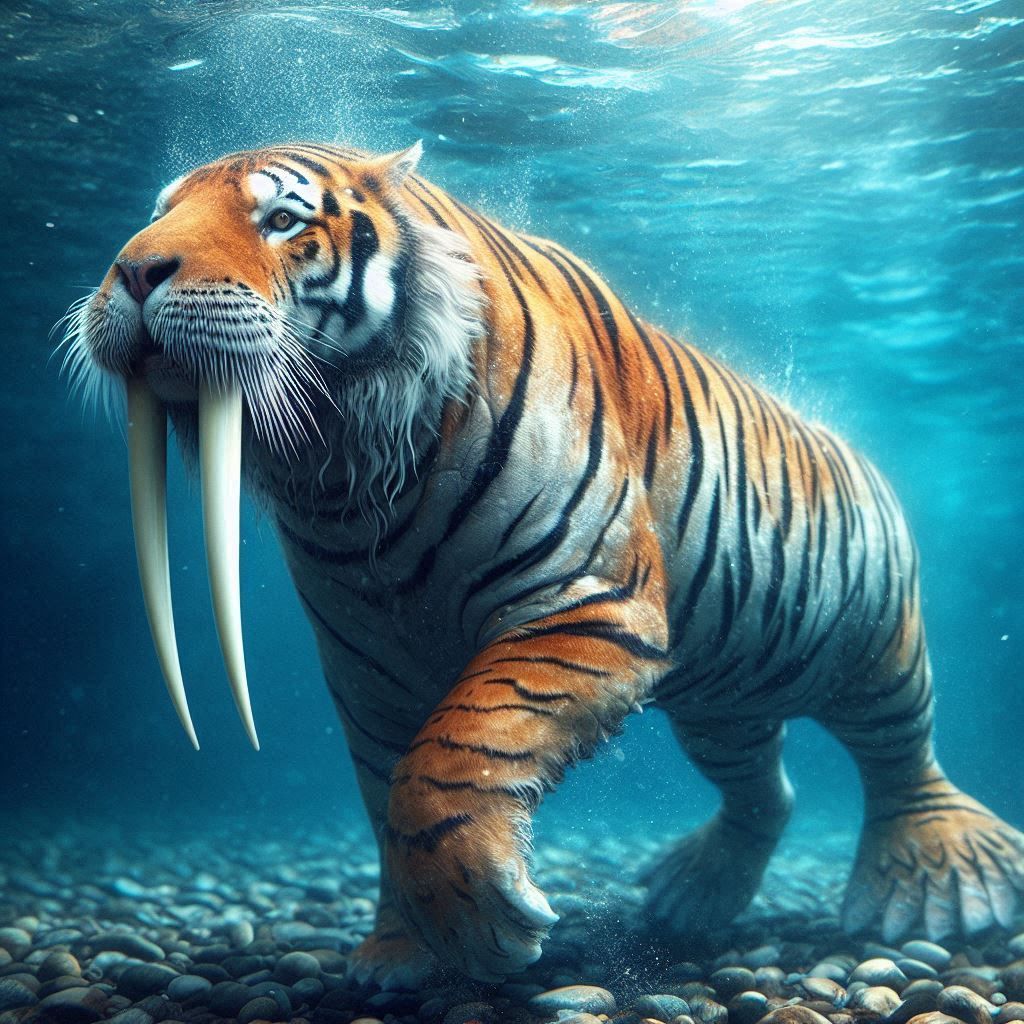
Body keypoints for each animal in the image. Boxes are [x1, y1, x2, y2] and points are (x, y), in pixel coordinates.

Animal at [65, 141, 1024, 986]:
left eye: (281, 219)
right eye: (157, 213)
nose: (135, 271)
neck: (341, 474)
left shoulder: (584, 600)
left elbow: (450, 762)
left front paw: (482, 924)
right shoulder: (367, 672)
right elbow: (383, 798)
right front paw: (398, 956)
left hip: (875, 647)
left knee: (902, 758)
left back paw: (942, 892)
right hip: (725, 697)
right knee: (767, 792)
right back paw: (689, 899)